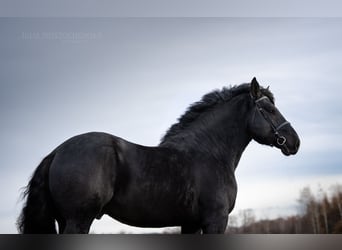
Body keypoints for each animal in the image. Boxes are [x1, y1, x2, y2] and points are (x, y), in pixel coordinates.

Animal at [17, 78, 300, 234]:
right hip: (78, 220)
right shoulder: (215, 221)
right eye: (269, 109)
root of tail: (56, 152)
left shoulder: (190, 224)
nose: (295, 142)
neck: (209, 152)